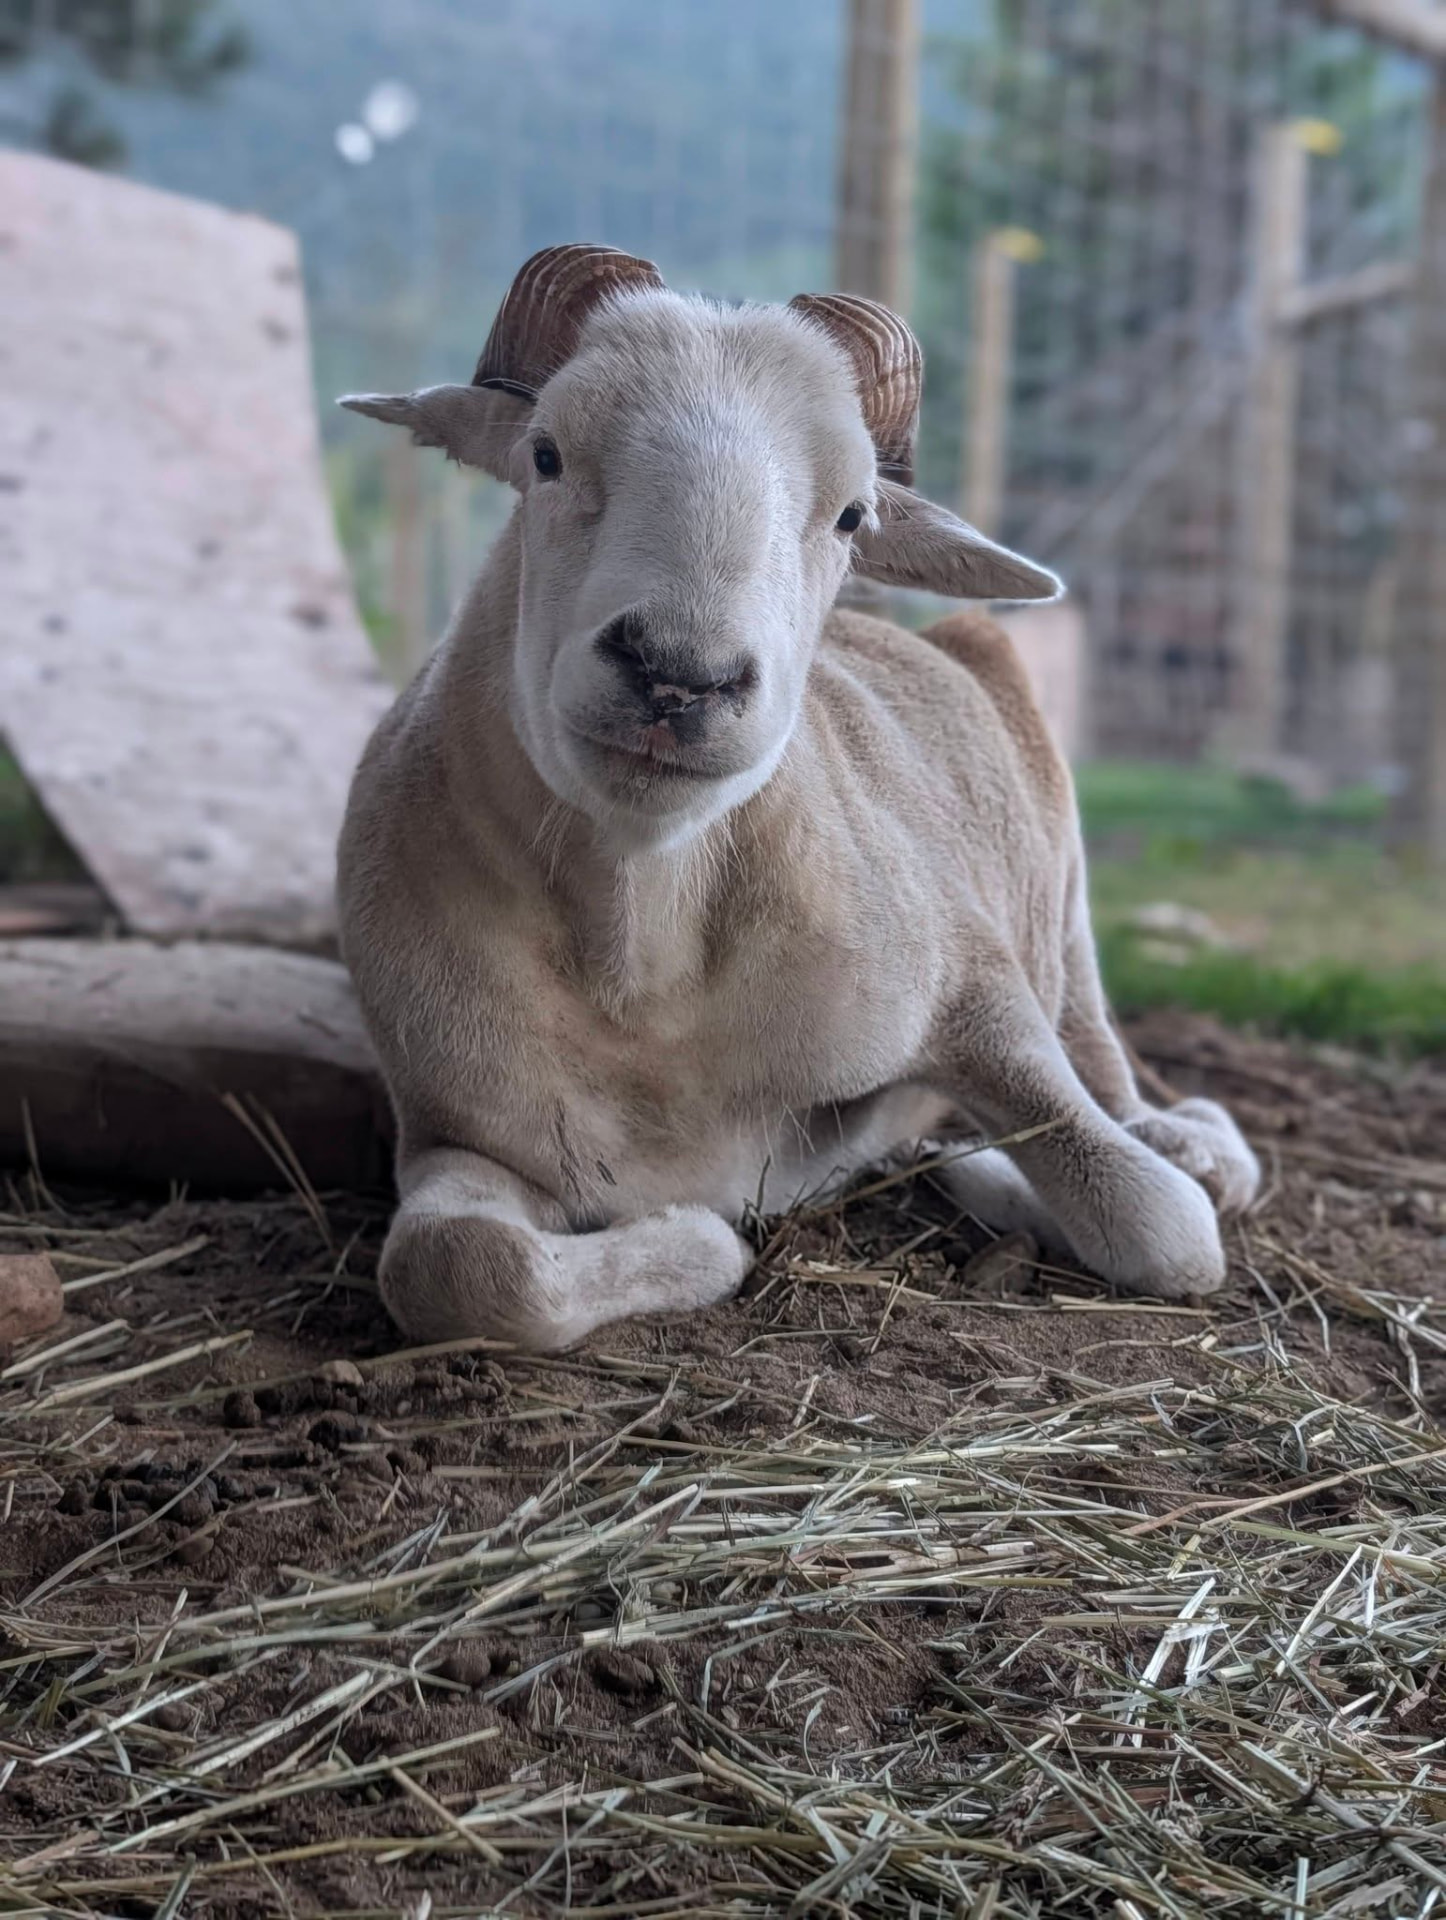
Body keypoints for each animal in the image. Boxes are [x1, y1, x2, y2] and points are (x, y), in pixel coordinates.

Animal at [338, 244, 1259, 1351]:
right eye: (547, 455)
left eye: (854, 513)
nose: (677, 678)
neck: (646, 955)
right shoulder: (456, 1131)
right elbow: (458, 1267)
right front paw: (699, 1238)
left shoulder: (971, 982)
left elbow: (1166, 1228)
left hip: (1063, 890)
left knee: (1104, 1050)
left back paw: (1181, 1139)